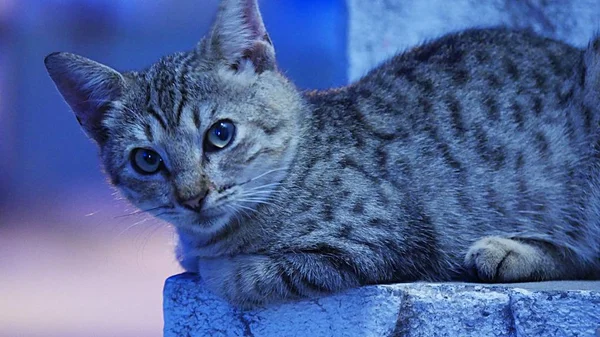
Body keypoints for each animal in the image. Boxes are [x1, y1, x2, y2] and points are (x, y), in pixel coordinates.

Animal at [45, 0, 600, 306]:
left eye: (220, 134)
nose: (192, 196)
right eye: (147, 160)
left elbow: (253, 272)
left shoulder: (391, 240)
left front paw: (217, 266)